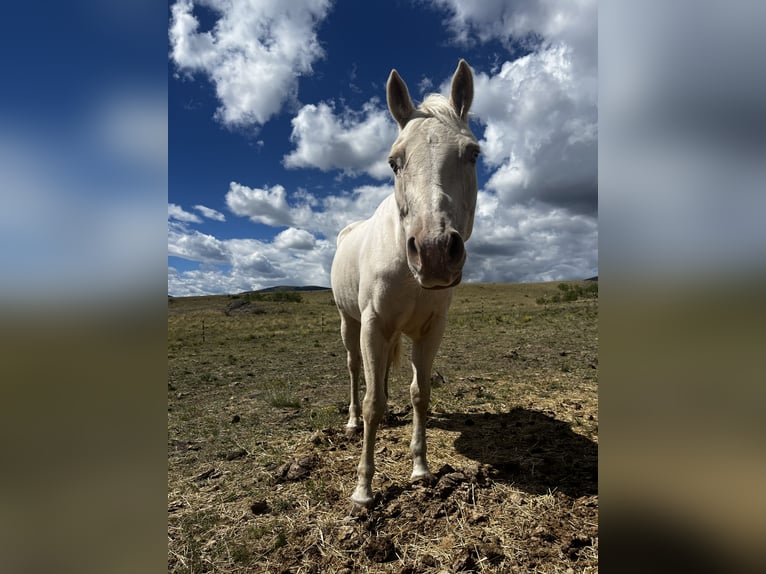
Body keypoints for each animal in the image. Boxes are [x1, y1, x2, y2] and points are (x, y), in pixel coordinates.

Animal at [330, 60, 480, 507]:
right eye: (394, 162)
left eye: (473, 154)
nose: (434, 252)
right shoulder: (373, 325)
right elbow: (372, 402)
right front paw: (363, 489)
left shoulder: (430, 331)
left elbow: (420, 394)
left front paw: (421, 468)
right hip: (350, 324)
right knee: (355, 370)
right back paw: (351, 421)